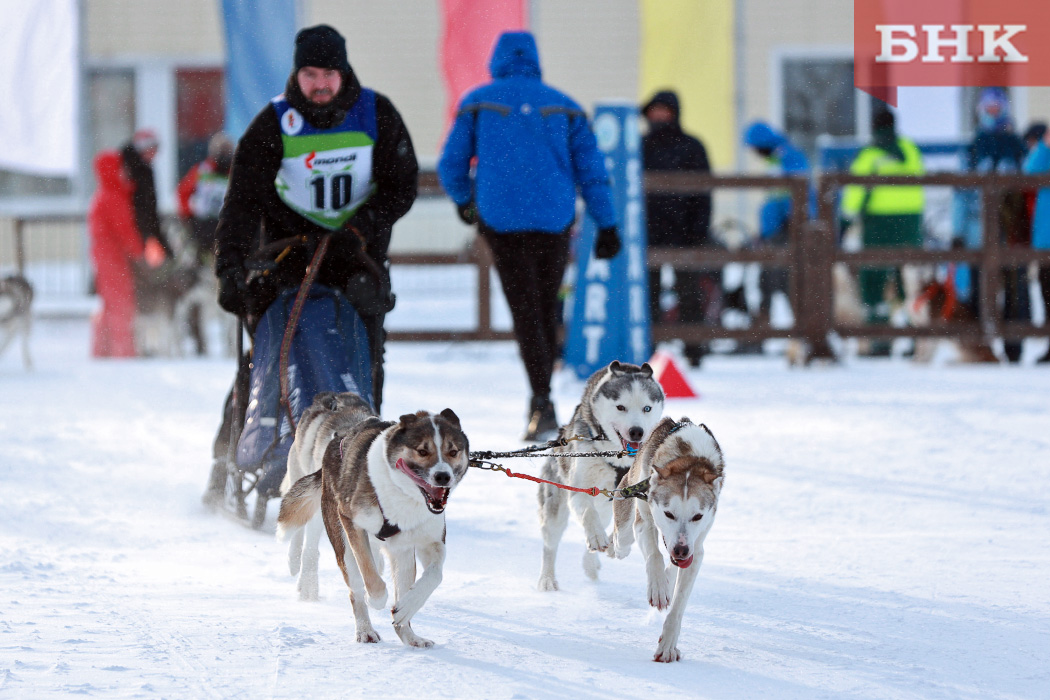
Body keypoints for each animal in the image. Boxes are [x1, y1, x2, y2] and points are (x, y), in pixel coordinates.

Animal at [537, 361, 659, 591]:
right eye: (621, 407)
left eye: (647, 408)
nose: (637, 431)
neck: (617, 459)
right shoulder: (578, 490)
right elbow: (587, 513)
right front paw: (595, 535)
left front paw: (615, 544)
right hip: (556, 507)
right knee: (550, 544)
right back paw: (547, 578)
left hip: (605, 507)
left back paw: (592, 561)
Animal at [613, 419, 726, 667]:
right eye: (668, 514)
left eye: (697, 516)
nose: (681, 549)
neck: (689, 459)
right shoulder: (644, 523)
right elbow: (654, 556)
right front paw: (657, 588)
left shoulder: (696, 551)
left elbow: (678, 604)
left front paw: (667, 645)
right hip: (625, 520)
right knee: (621, 542)